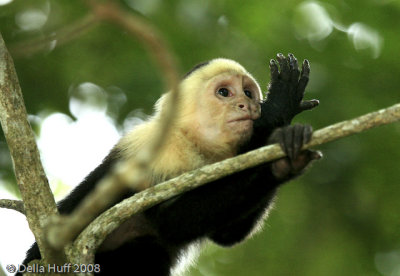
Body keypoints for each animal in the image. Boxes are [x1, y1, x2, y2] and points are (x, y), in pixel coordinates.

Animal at [20, 52, 324, 274]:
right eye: (225, 93)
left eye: (248, 93)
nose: (246, 106)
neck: (194, 142)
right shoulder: (164, 151)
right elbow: (169, 221)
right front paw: (277, 110)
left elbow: (226, 235)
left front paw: (284, 159)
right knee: (147, 244)